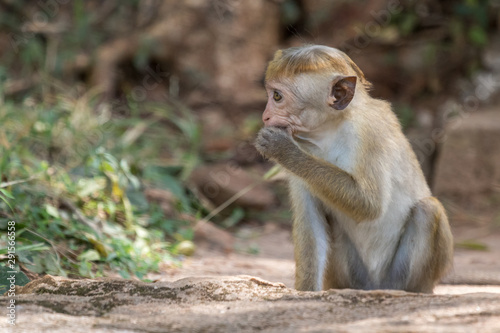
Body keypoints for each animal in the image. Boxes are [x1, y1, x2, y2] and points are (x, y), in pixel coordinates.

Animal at [254, 45, 454, 292]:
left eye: (277, 96)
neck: (330, 130)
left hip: (404, 276)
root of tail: (373, 286)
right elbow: (312, 227)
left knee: (428, 210)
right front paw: (306, 292)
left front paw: (283, 149)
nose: (265, 116)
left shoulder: (370, 132)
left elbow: (369, 204)